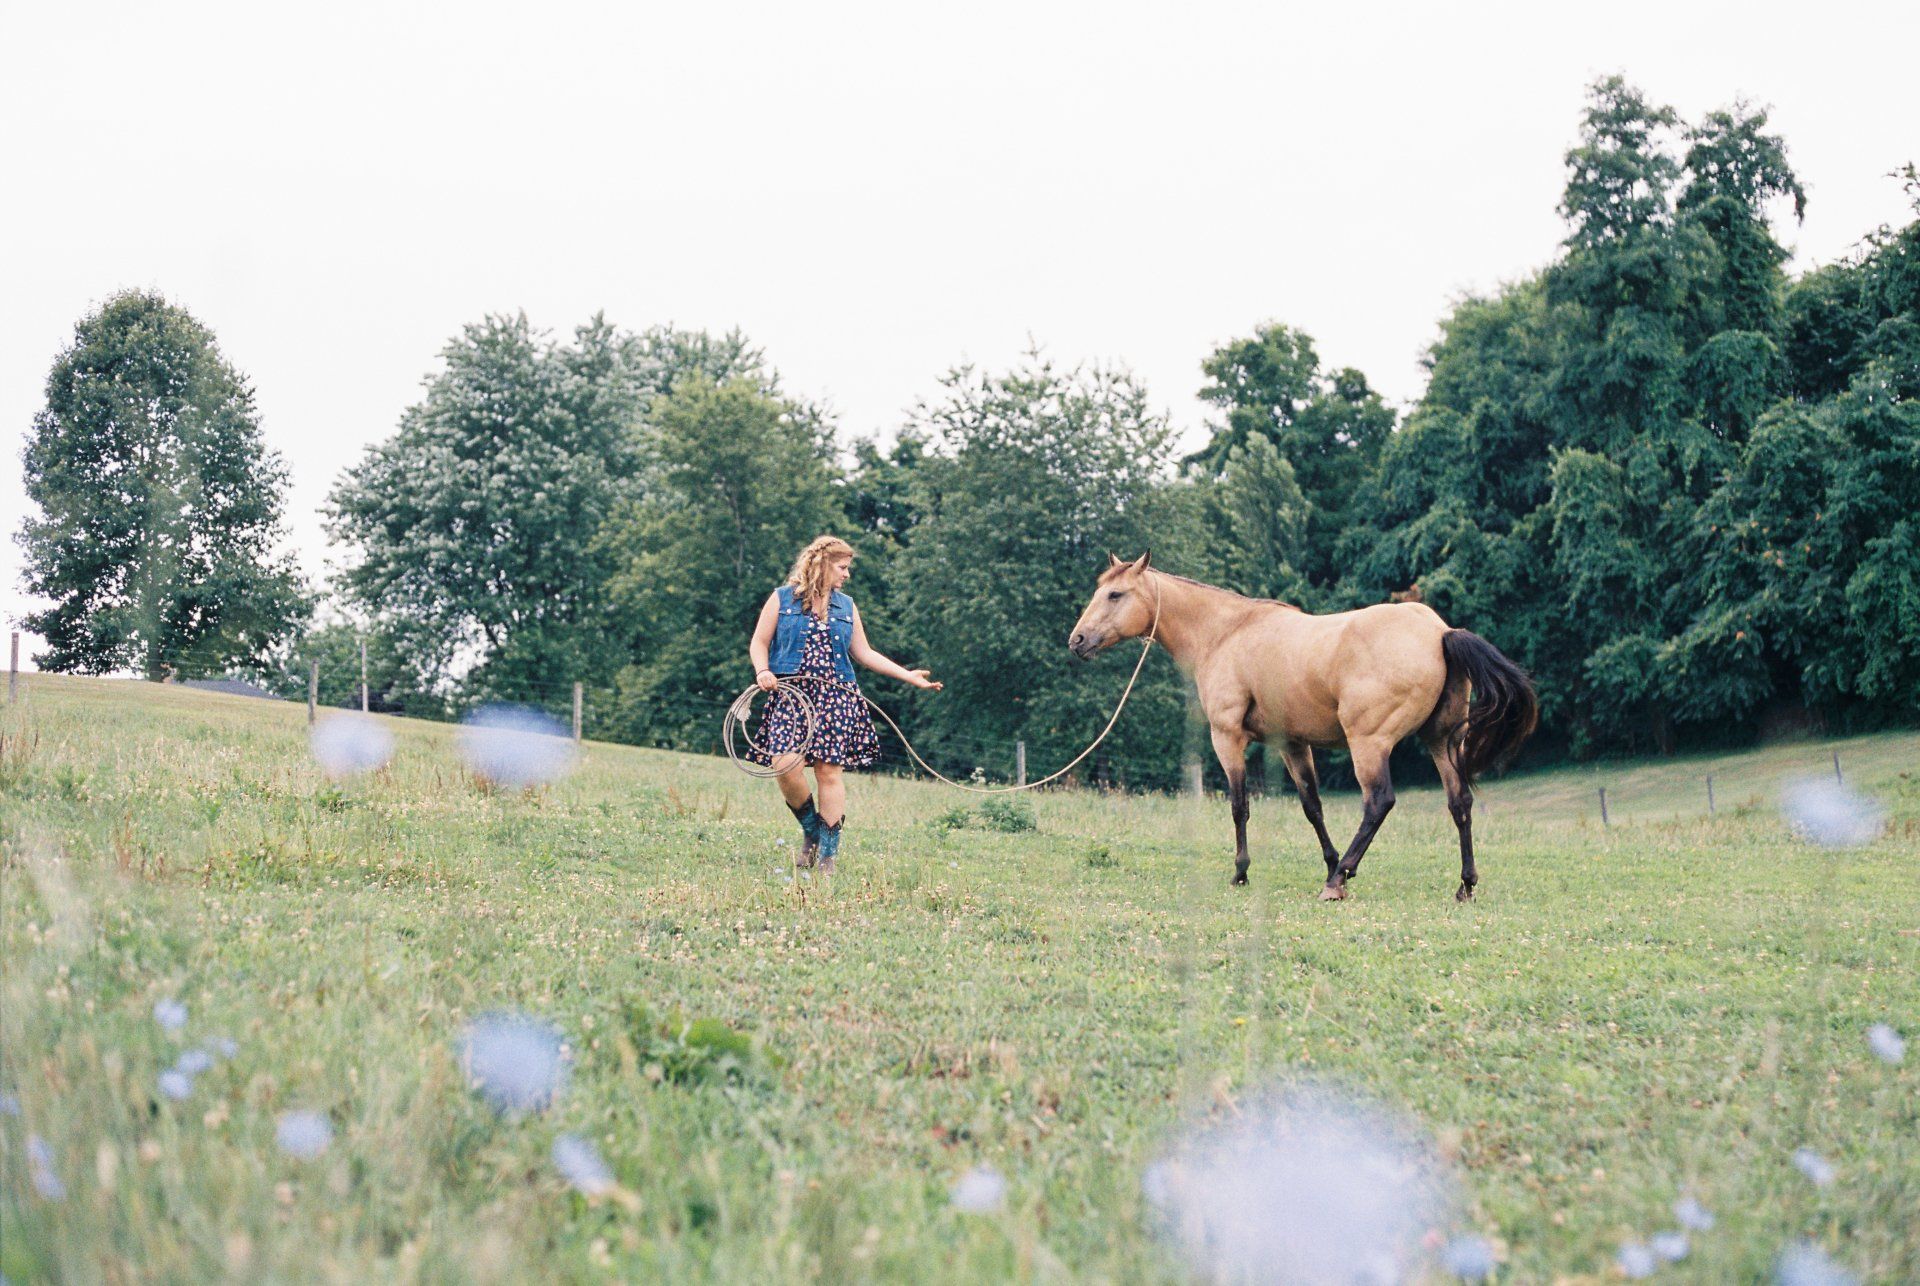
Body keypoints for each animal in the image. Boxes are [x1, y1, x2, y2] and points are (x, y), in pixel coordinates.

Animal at [1068, 553, 1537, 901]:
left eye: (1114, 594)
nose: (1077, 640)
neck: (1225, 633)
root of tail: (1440, 631)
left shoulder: (1228, 738)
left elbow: (1239, 806)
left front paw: (1242, 873)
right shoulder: (1291, 744)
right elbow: (1313, 807)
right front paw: (1328, 861)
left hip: (1369, 745)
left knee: (1379, 802)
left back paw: (1340, 880)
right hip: (1442, 742)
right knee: (1460, 803)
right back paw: (1464, 885)